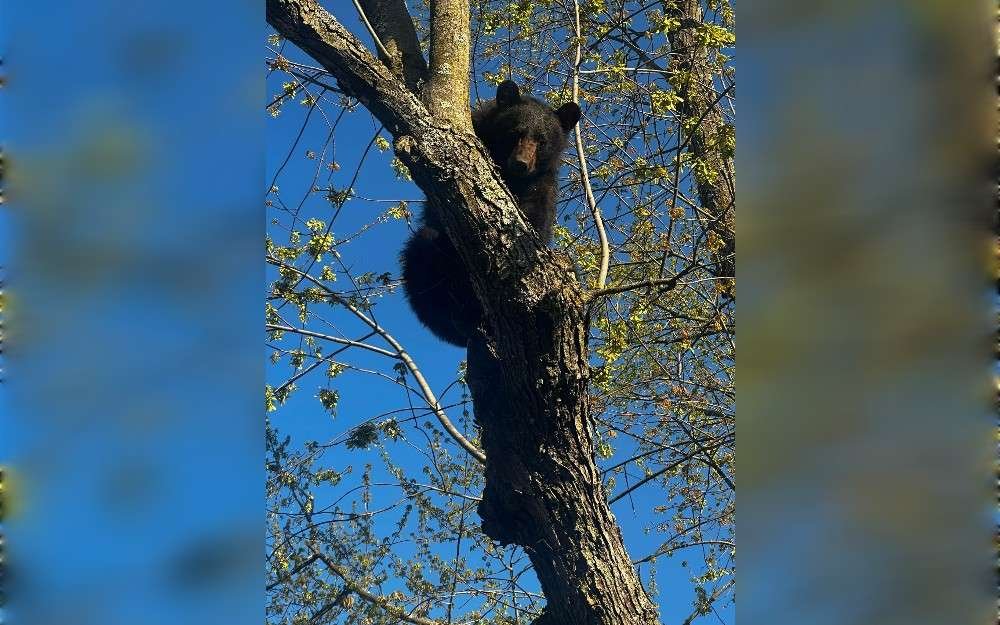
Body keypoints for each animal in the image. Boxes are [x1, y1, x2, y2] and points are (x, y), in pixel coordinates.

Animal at [400, 81, 581, 347]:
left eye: (541, 140)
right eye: (515, 132)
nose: (521, 163)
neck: (512, 177)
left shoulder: (542, 186)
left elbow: (536, 222)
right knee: (423, 257)